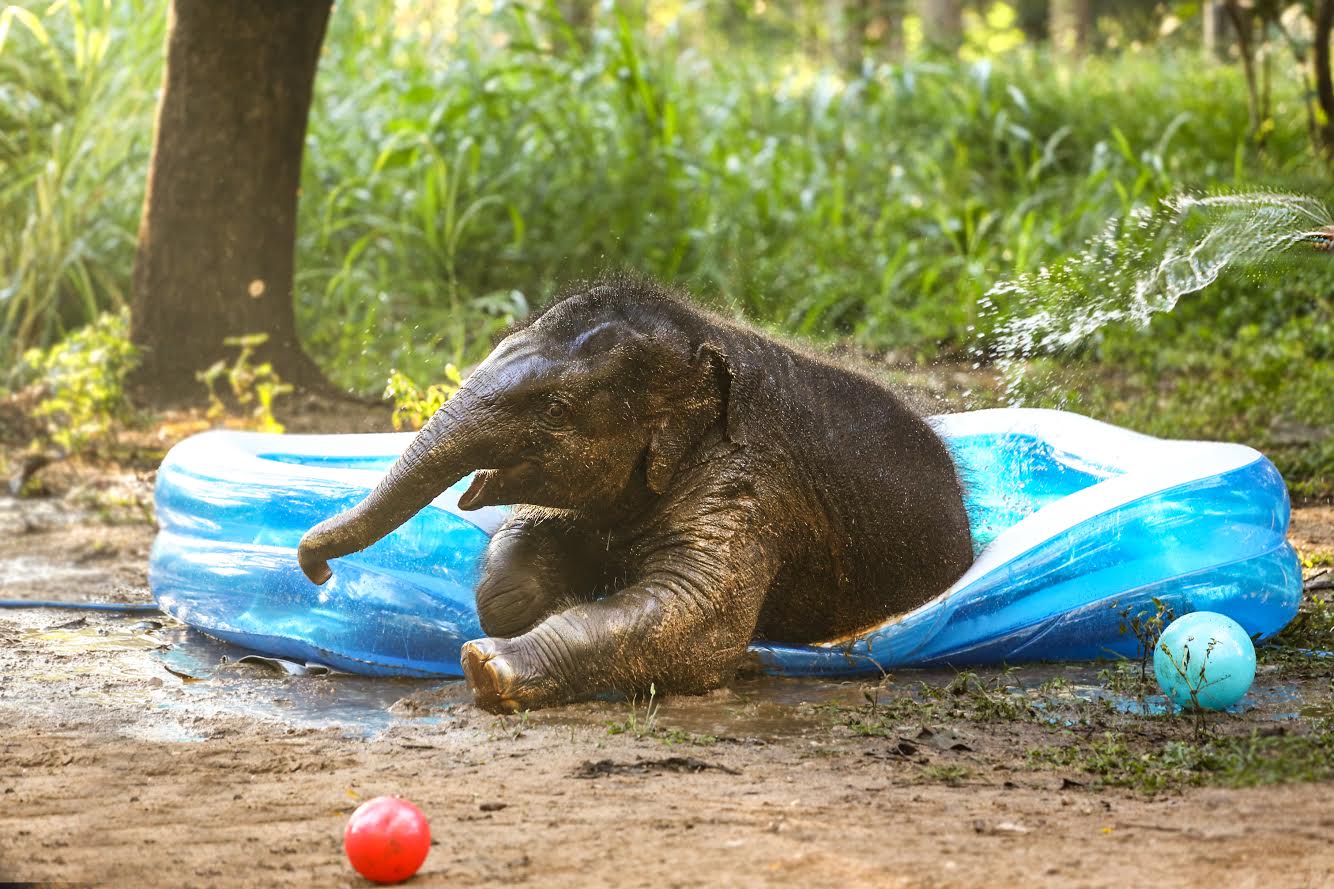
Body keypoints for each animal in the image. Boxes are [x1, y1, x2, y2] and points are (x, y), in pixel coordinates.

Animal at [297, 280, 976, 710]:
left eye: (554, 408)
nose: (319, 571)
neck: (705, 339)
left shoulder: (752, 485)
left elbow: (696, 618)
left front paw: (487, 667)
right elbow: (512, 569)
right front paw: (558, 598)